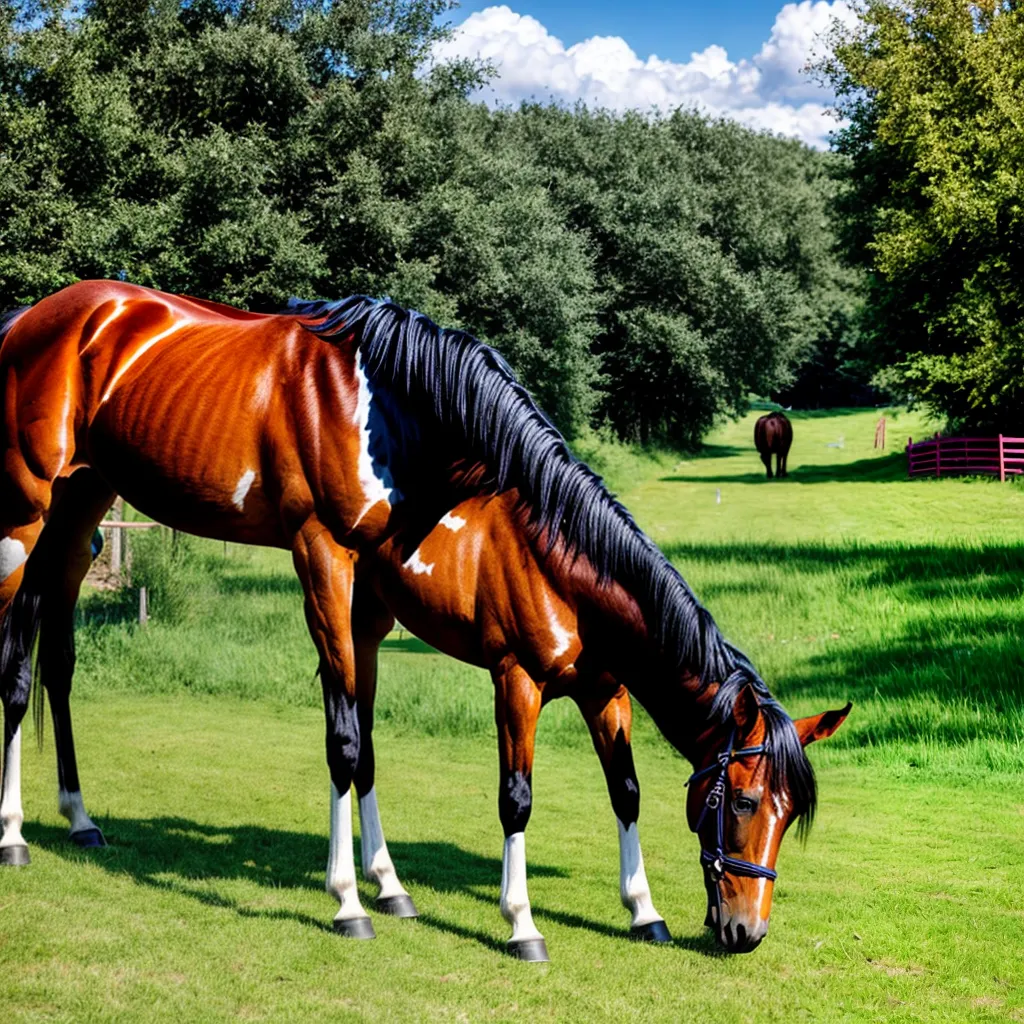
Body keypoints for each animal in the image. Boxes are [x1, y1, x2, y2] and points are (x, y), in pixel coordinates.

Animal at [0, 281, 849, 959]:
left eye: (787, 815)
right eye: (744, 802)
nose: (747, 931)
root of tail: (31, 319)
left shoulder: (606, 690)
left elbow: (628, 792)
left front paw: (643, 911)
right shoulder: (499, 671)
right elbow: (496, 791)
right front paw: (502, 921)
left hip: (87, 507)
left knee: (59, 657)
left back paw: (84, 819)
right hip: (26, 515)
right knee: (14, 665)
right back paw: (13, 835)